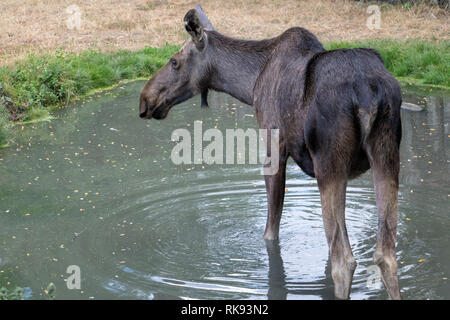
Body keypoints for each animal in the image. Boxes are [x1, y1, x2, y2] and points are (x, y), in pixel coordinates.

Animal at [139, 5, 402, 300]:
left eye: (174, 61)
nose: (145, 99)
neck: (249, 84)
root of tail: (368, 93)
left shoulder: (274, 149)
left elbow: (270, 231)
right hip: (387, 156)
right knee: (386, 254)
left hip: (330, 164)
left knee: (344, 261)